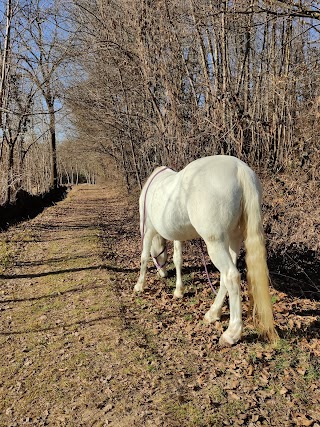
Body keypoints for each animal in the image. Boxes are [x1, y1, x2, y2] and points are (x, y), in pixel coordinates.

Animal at [135, 155, 278, 346]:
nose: (163, 274)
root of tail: (240, 170)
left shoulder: (148, 228)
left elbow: (144, 256)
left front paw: (139, 285)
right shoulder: (178, 235)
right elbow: (178, 259)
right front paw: (179, 291)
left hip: (215, 243)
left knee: (231, 276)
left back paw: (232, 333)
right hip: (233, 239)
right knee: (225, 277)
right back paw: (213, 313)